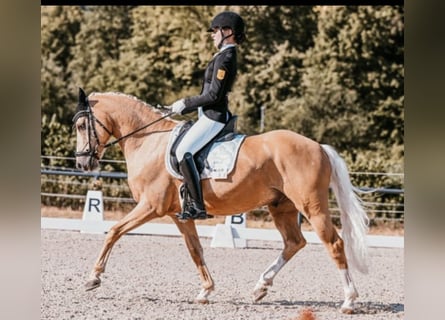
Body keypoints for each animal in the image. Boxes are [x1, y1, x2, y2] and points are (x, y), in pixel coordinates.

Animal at [73, 89, 370, 314]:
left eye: (80, 125)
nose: (82, 163)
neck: (149, 142)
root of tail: (319, 147)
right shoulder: (178, 215)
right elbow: (195, 250)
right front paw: (205, 291)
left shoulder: (150, 206)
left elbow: (114, 231)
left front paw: (93, 278)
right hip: (281, 207)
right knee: (294, 243)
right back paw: (260, 287)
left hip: (311, 206)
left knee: (334, 244)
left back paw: (349, 301)